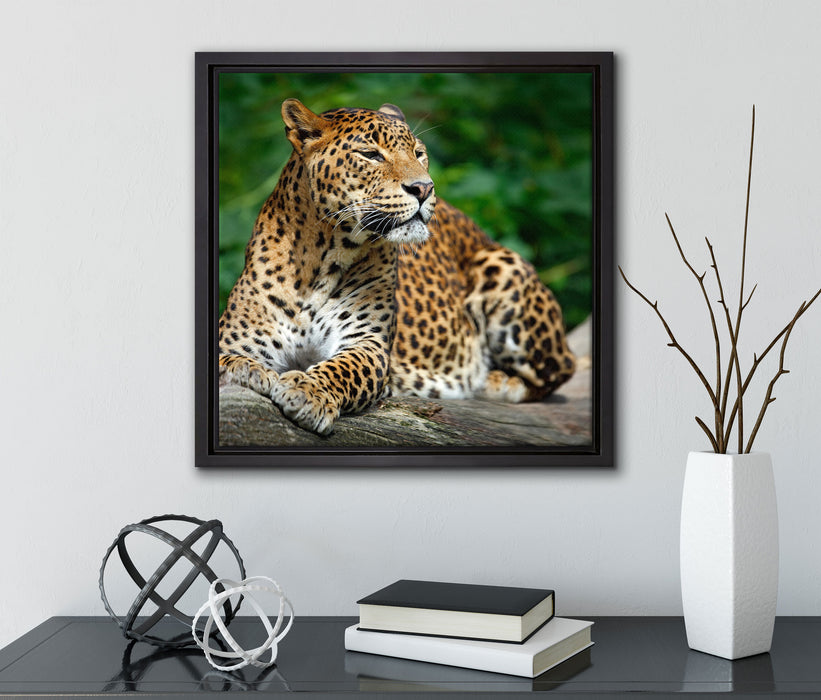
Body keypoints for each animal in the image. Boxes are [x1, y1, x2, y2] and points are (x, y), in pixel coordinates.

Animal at [218, 98, 576, 436]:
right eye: (371, 155)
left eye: (419, 153)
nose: (424, 188)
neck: (320, 259)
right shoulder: (236, 338)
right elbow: (228, 358)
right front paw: (247, 370)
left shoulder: (367, 344)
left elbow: (341, 369)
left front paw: (307, 391)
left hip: (502, 266)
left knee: (561, 370)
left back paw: (491, 381)